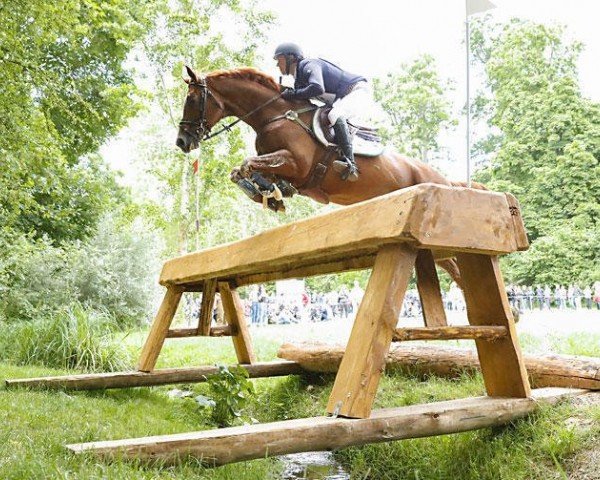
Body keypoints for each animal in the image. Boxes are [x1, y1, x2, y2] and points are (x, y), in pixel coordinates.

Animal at [175, 66, 482, 284]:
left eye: (192, 99)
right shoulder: (287, 169)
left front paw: (267, 193)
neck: (274, 115)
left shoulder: (296, 164)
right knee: (451, 266)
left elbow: (248, 164)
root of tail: (446, 181)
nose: (182, 142)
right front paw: (270, 195)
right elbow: (243, 171)